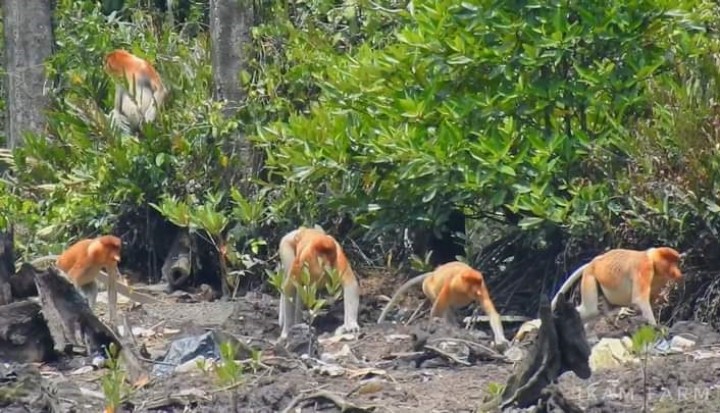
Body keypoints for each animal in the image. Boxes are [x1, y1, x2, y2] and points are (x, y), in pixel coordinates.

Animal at [376, 260, 506, 348]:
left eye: (478, 282)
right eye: (473, 283)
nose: (477, 291)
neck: (462, 284)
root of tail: (432, 274)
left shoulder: (483, 289)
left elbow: (492, 313)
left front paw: (502, 340)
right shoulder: (450, 284)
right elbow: (437, 311)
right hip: (428, 288)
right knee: (445, 308)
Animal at [548, 246, 684, 326]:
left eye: (676, 262)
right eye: (671, 262)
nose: (678, 273)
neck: (652, 259)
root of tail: (593, 262)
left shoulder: (661, 278)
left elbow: (652, 298)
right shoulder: (644, 268)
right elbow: (640, 300)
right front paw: (656, 328)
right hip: (589, 277)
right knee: (591, 311)